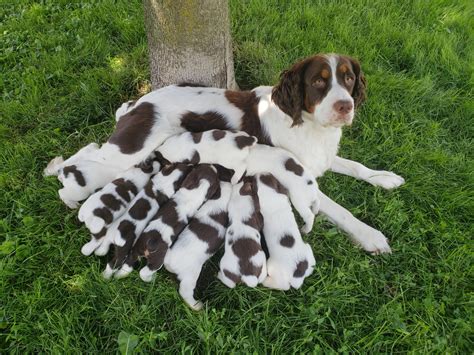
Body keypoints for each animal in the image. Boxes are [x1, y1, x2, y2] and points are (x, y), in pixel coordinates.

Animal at [54, 55, 404, 256]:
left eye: (348, 78)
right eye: (318, 81)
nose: (346, 105)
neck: (308, 124)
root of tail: (138, 103)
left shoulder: (321, 157)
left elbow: (356, 166)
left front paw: (384, 177)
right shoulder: (298, 172)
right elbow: (340, 210)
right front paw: (371, 236)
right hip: (126, 151)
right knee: (84, 161)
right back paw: (63, 185)